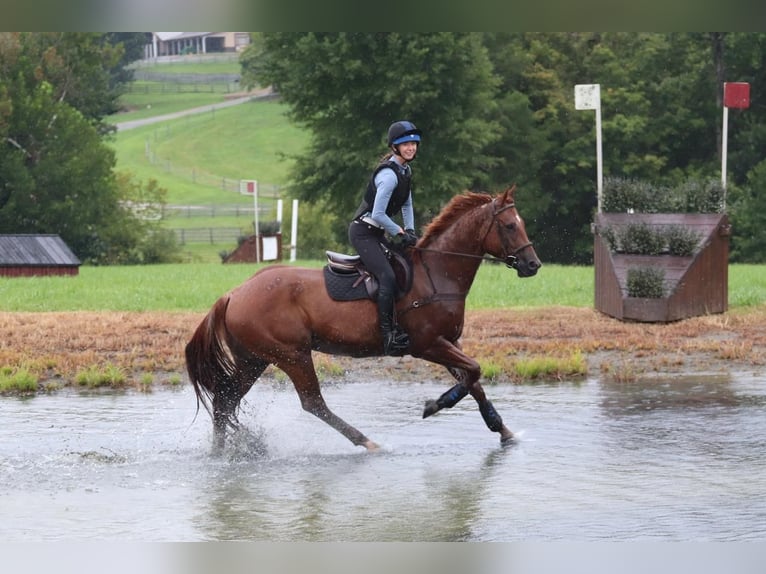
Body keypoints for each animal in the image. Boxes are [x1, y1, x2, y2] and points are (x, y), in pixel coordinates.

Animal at [187, 187, 544, 452]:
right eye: (510, 226)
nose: (533, 265)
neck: (438, 273)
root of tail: (234, 293)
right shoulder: (427, 344)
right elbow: (474, 372)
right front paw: (435, 405)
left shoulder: (448, 342)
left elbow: (473, 380)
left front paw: (503, 430)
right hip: (292, 355)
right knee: (312, 403)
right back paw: (368, 442)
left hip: (255, 359)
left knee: (224, 402)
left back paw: (222, 454)